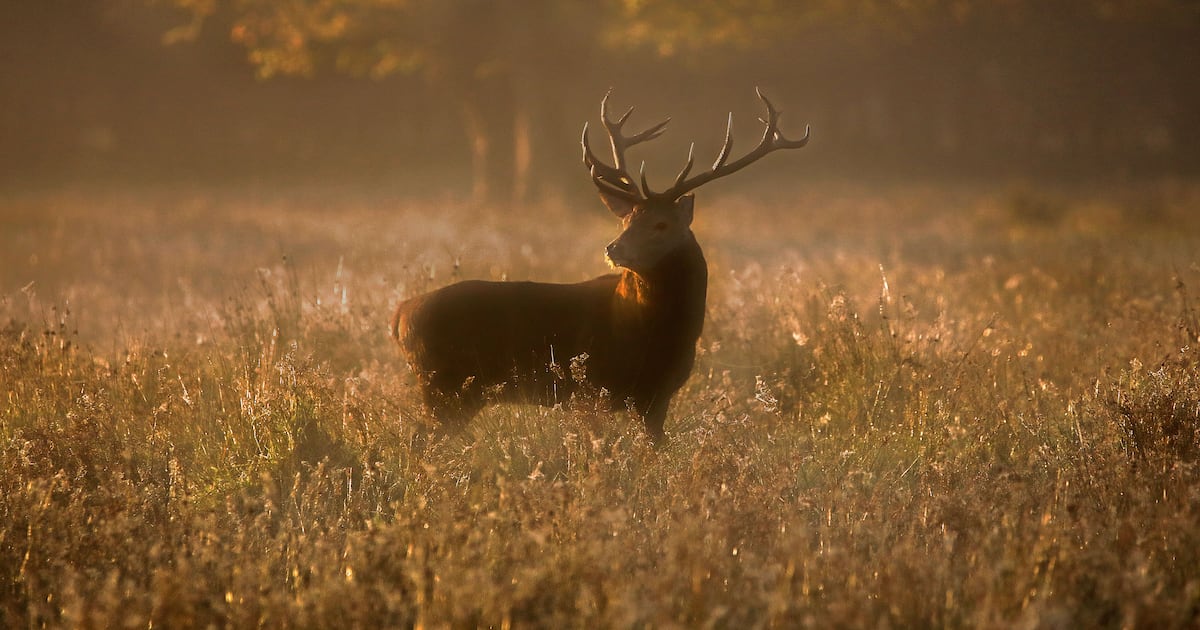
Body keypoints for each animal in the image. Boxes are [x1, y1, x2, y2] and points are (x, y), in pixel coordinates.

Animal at [390, 88, 809, 444]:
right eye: (626, 220)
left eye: (661, 224)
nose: (613, 248)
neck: (649, 331)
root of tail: (400, 314)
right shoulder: (590, 390)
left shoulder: (656, 397)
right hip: (443, 385)